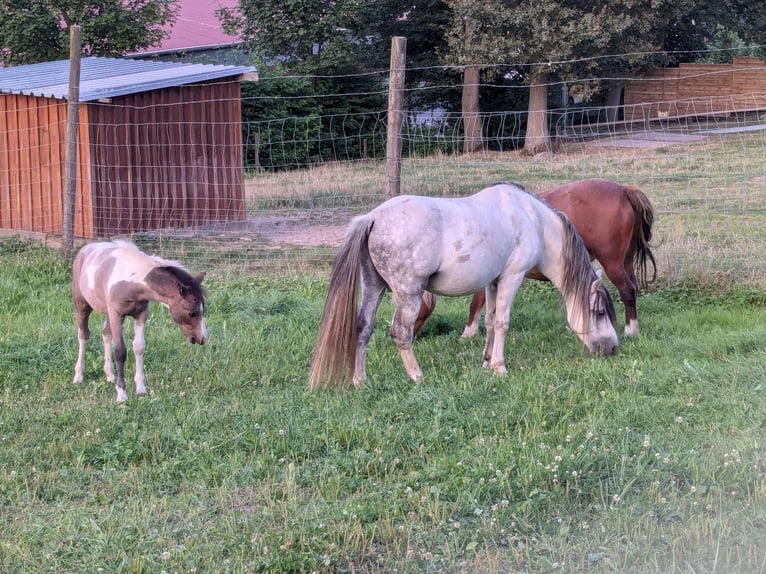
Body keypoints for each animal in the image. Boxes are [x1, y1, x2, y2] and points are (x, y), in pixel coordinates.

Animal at [72, 241, 208, 402]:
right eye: (191, 313)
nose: (203, 338)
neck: (133, 279)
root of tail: (85, 249)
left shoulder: (141, 314)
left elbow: (139, 347)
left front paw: (141, 388)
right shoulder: (116, 314)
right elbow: (120, 352)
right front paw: (121, 393)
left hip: (108, 313)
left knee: (106, 333)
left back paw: (110, 374)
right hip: (82, 305)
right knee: (83, 335)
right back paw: (79, 375)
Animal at [310, 184, 616, 392]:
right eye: (600, 312)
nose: (612, 348)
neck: (533, 220)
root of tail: (372, 217)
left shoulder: (493, 281)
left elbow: (490, 320)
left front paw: (486, 361)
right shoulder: (512, 277)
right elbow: (503, 322)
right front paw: (499, 367)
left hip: (374, 287)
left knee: (364, 328)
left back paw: (360, 380)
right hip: (409, 294)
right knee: (400, 332)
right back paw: (417, 376)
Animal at [416, 180, 656, 340]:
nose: (412, 336)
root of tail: (623, 190)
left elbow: (476, 302)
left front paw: (468, 333)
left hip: (612, 263)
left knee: (627, 290)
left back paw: (630, 330)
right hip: (625, 262)